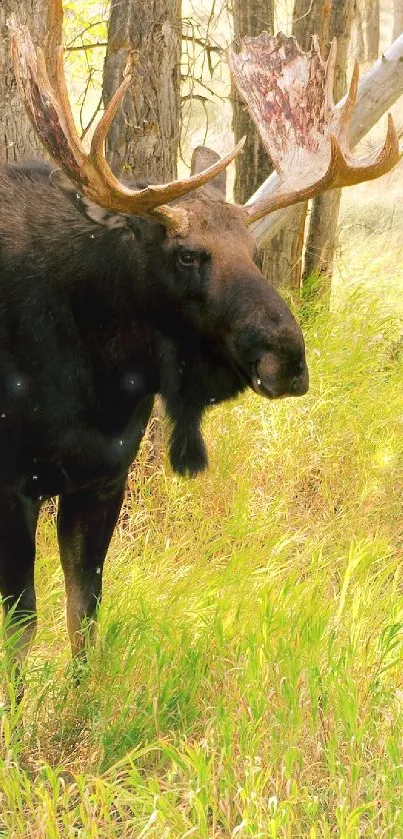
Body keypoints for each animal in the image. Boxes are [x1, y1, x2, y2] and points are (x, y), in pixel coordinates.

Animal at [0, 4, 400, 688]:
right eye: (188, 253)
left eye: (254, 248)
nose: (290, 358)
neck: (100, 381)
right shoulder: (11, 484)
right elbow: (23, 633)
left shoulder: (103, 477)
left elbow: (85, 621)